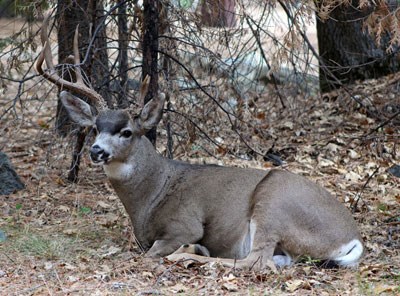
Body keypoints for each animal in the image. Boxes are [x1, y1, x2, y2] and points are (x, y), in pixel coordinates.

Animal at [36, 20, 364, 272]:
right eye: (95, 128)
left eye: (127, 131)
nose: (96, 151)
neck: (151, 195)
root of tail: (352, 237)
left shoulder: (184, 223)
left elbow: (151, 252)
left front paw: (187, 249)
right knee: (277, 261)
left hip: (274, 202)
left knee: (256, 261)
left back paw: (190, 255)